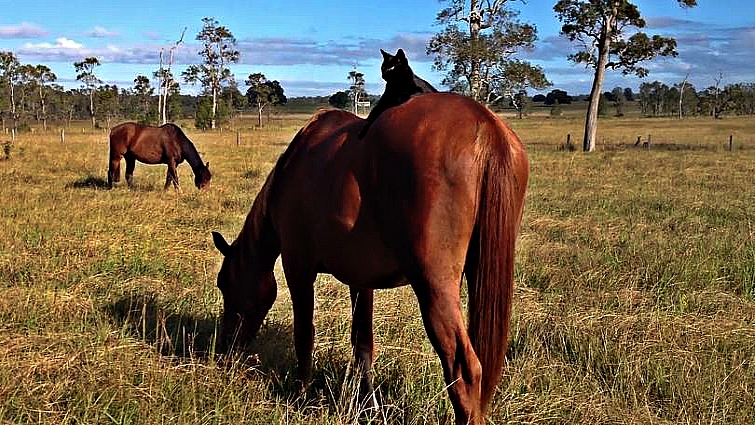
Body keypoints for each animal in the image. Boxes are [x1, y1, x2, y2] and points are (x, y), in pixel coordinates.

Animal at [211, 93, 529, 424]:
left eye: (224, 283)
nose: (224, 350)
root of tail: (485, 123)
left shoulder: (298, 268)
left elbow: (304, 334)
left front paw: (301, 394)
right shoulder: (360, 280)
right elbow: (363, 343)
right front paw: (367, 403)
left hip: (434, 288)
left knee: (464, 370)